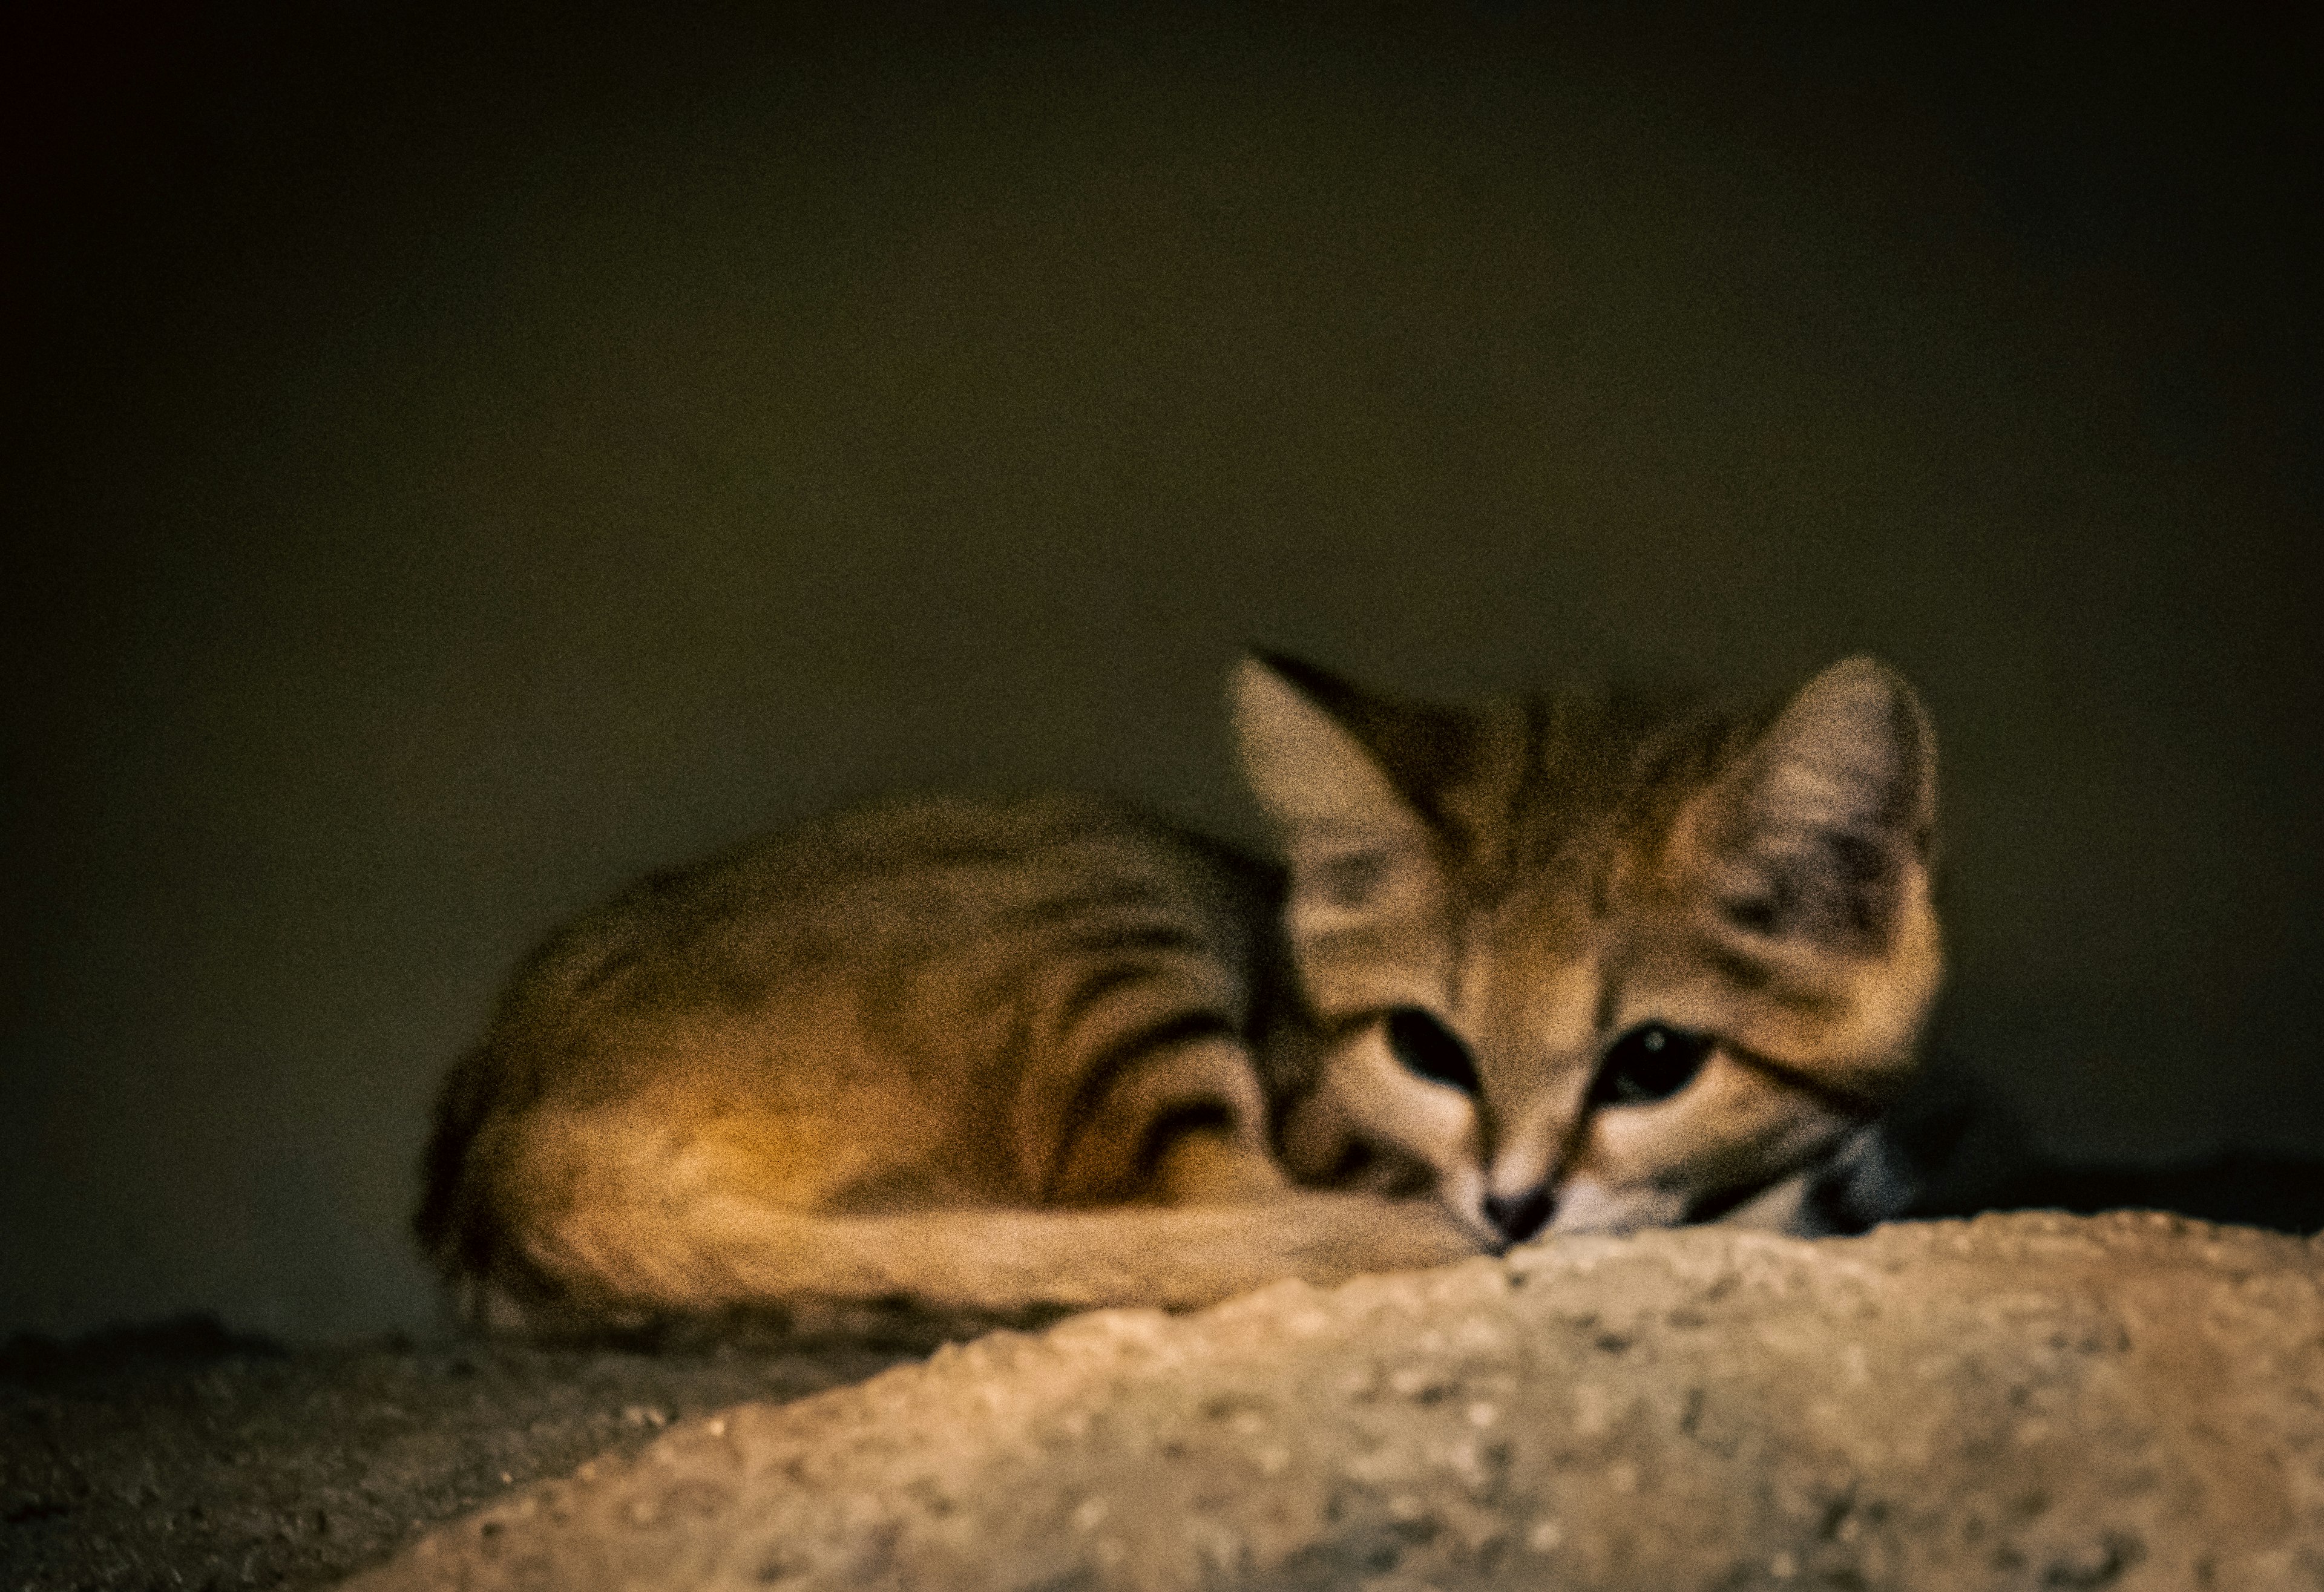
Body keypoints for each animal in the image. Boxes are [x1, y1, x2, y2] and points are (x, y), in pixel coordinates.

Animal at [418, 650, 1943, 1338]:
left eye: (1652, 1059)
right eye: (1427, 1044)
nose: (1512, 1206)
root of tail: (520, 1139)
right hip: (1105, 900)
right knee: (1213, 1216)